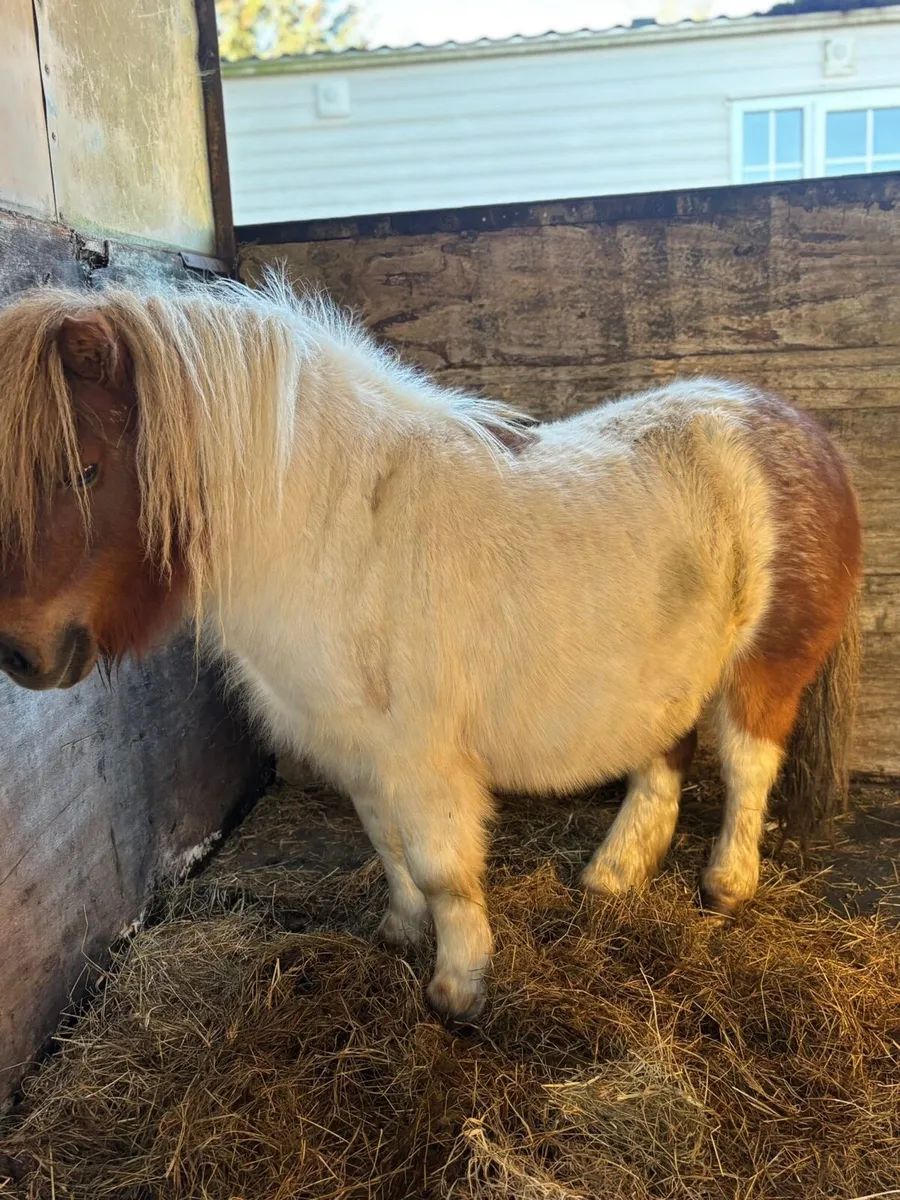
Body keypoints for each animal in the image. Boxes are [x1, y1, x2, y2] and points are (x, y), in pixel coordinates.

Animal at [0, 275, 862, 1021]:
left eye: (85, 470)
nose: (20, 653)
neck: (335, 529)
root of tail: (799, 427)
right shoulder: (359, 748)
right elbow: (389, 847)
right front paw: (402, 931)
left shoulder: (423, 755)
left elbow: (445, 869)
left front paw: (457, 987)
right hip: (664, 675)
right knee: (661, 763)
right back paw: (613, 877)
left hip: (763, 671)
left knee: (748, 767)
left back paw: (725, 886)